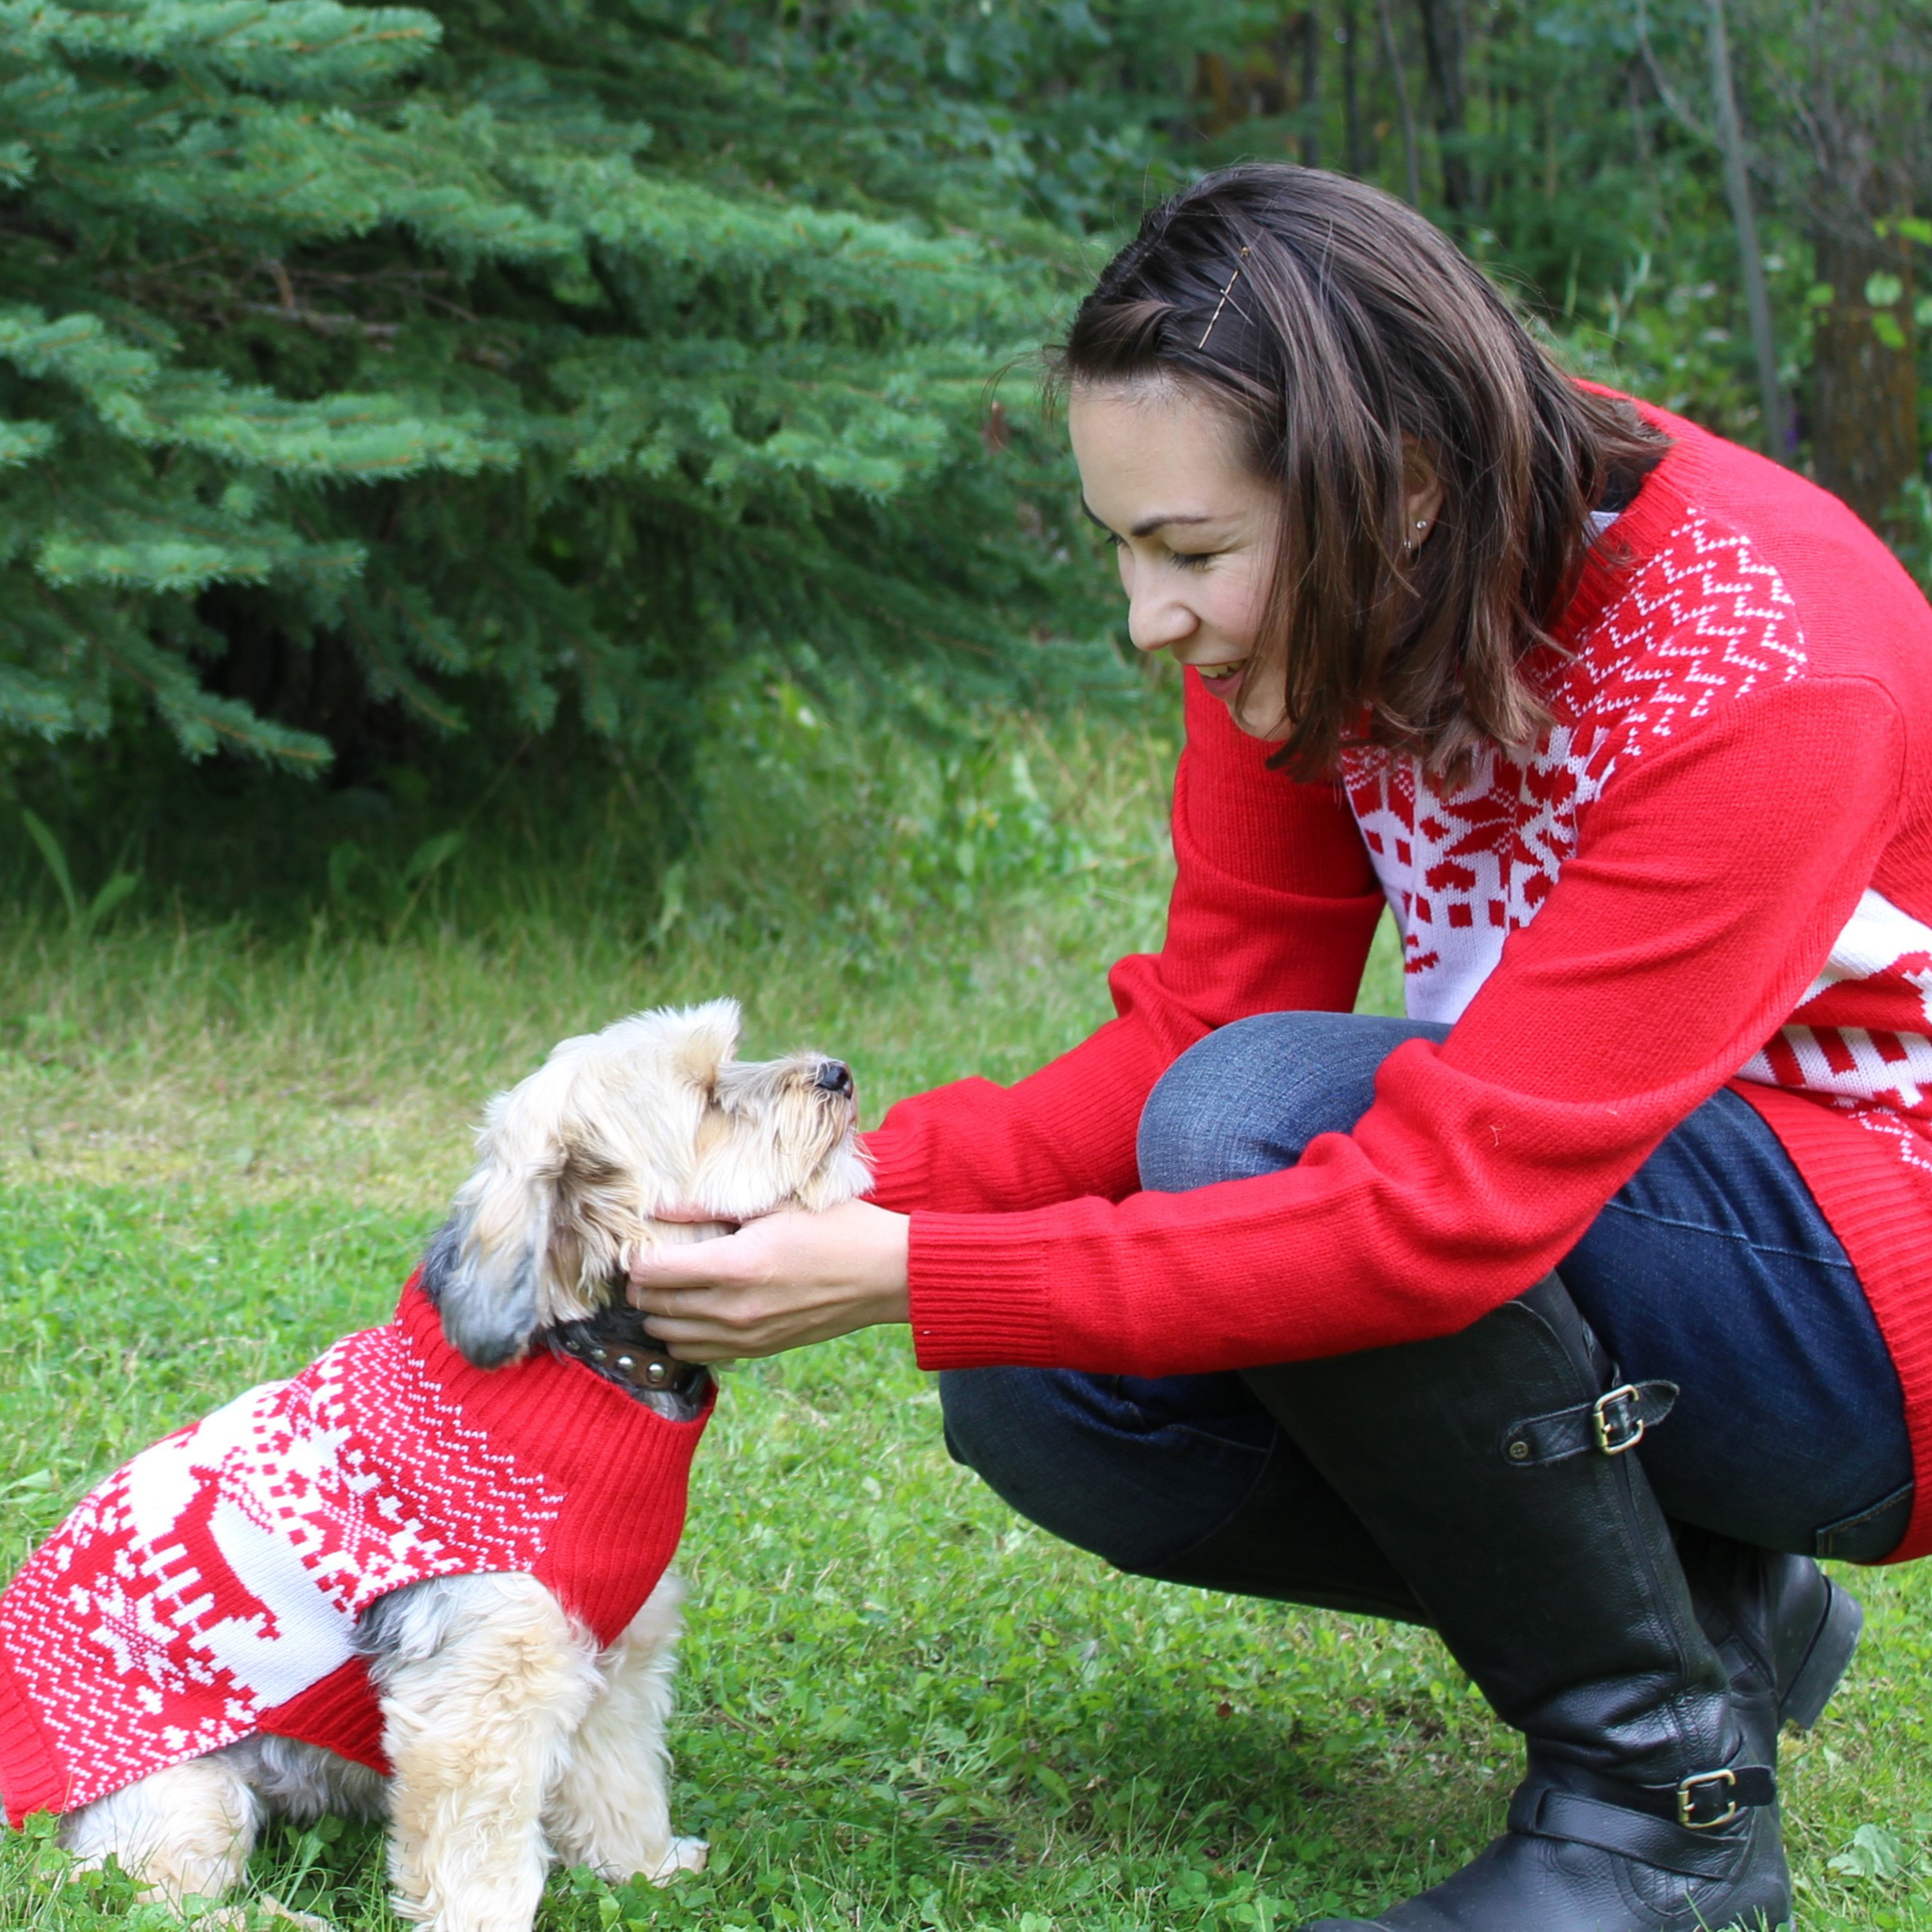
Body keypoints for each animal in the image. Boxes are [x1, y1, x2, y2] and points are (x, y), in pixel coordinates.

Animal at [0, 1004, 861, 1924]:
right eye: (706, 1096)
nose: (838, 1073)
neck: (586, 1366)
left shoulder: (617, 1652)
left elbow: (619, 1784)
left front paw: (647, 1872)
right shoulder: (481, 1690)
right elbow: (478, 1847)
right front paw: (487, 1918)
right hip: (184, 1793)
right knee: (134, 1891)